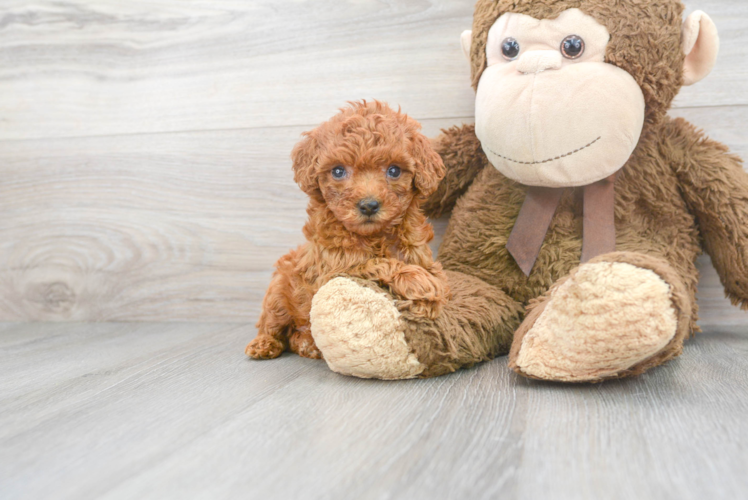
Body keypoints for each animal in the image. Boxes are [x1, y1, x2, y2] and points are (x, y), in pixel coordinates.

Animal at [248, 100, 450, 360]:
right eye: (338, 171)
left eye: (394, 170)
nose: (368, 205)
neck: (375, 236)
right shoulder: (333, 269)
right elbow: (375, 262)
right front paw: (418, 283)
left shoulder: (420, 253)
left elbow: (439, 279)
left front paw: (429, 293)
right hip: (278, 293)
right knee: (271, 323)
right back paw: (263, 344)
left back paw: (307, 344)